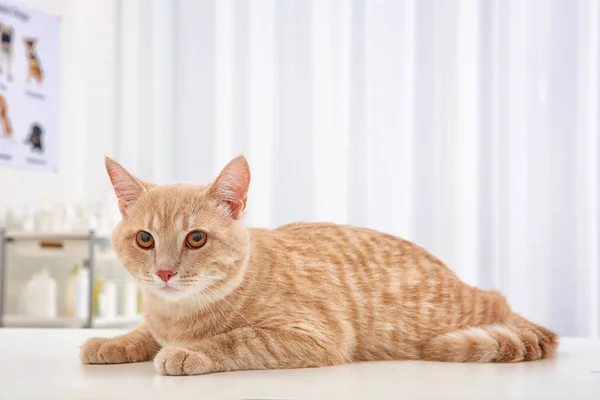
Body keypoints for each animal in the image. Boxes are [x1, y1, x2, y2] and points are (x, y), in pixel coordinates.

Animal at [79, 155, 556, 376]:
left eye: (195, 238)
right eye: (145, 239)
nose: (163, 272)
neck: (178, 313)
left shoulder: (314, 336)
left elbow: (236, 340)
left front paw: (187, 351)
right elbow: (145, 331)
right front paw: (113, 341)